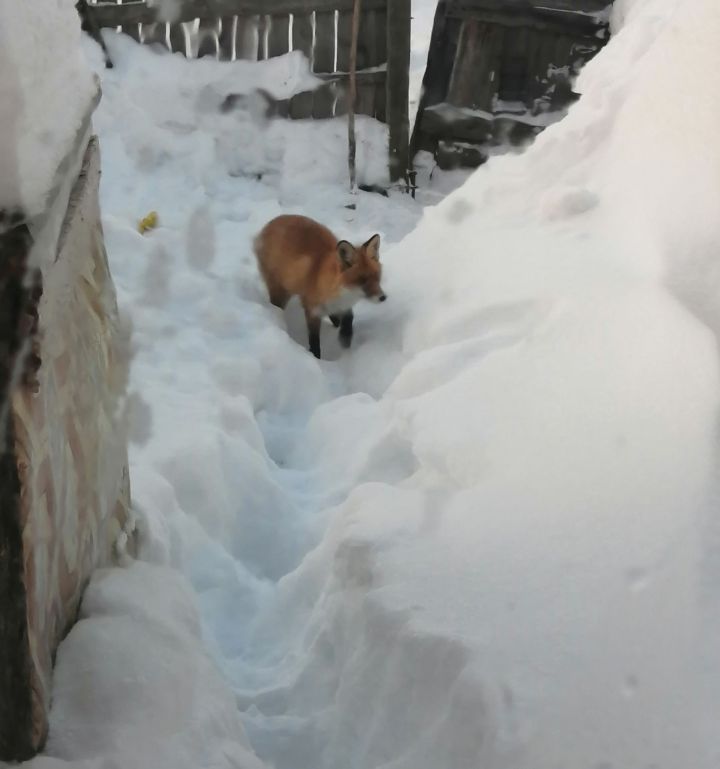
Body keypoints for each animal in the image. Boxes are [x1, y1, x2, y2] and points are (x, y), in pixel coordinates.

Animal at [255, 214, 386, 358]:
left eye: (377, 276)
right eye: (362, 280)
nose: (383, 297)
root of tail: (270, 223)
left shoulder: (343, 306)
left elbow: (349, 317)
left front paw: (345, 337)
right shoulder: (312, 310)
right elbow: (314, 339)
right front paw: (315, 357)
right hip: (281, 293)